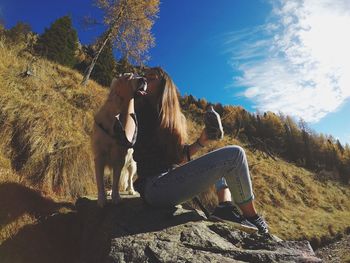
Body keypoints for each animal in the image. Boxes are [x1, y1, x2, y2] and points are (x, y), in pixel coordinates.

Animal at [92, 75, 146, 208]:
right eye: (129, 76)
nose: (144, 79)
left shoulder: (119, 158)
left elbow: (116, 180)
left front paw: (116, 197)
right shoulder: (99, 157)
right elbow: (100, 181)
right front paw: (102, 199)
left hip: (132, 164)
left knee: (130, 178)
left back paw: (131, 190)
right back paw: (109, 191)